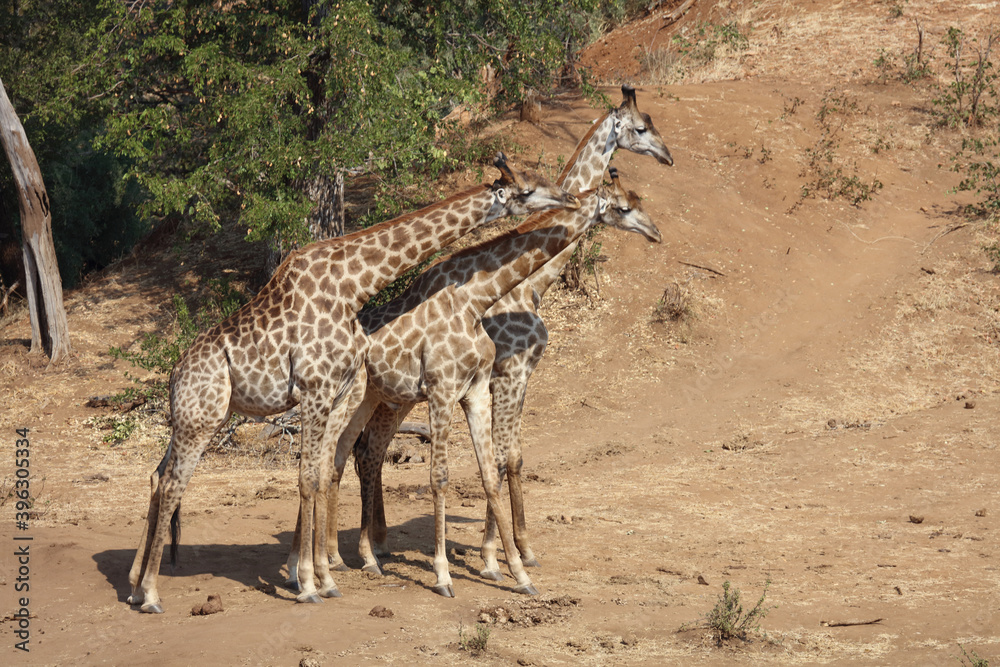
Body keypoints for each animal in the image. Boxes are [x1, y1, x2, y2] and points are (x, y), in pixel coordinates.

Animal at [125, 154, 579, 613]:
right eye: (526, 189)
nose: (571, 198)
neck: (353, 287)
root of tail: (173, 374)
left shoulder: (339, 390)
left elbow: (323, 473)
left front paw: (321, 578)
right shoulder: (316, 389)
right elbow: (309, 478)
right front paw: (310, 584)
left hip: (189, 419)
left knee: (157, 476)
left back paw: (133, 586)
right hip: (203, 420)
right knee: (172, 483)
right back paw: (151, 594)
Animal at [305, 167, 659, 598]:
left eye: (639, 201)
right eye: (624, 207)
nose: (655, 232)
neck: (480, 299)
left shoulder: (478, 389)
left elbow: (492, 470)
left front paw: (516, 571)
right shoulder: (454, 388)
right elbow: (445, 476)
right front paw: (451, 572)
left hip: (375, 397)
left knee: (345, 455)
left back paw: (346, 559)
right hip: (361, 398)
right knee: (341, 457)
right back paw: (324, 567)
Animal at [365, 85, 674, 569]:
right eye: (642, 127)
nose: (668, 156)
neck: (533, 282)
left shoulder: (509, 377)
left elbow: (508, 455)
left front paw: (508, 550)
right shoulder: (511, 372)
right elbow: (504, 458)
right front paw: (506, 553)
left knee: (365, 448)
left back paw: (372, 545)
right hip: (399, 393)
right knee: (369, 448)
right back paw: (369, 548)